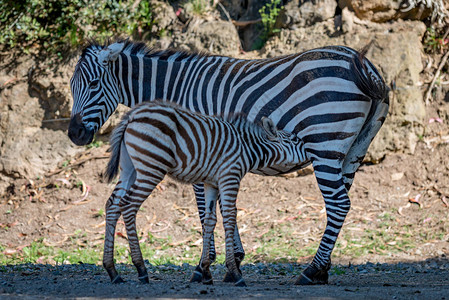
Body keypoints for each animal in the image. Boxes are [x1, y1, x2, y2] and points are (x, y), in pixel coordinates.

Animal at [104, 101, 308, 286]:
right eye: (295, 140)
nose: (311, 154)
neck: (247, 148)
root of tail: (132, 116)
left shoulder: (211, 182)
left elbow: (210, 220)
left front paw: (206, 271)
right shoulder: (230, 176)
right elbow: (229, 218)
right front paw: (235, 272)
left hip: (129, 168)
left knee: (113, 205)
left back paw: (113, 271)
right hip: (151, 168)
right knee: (128, 206)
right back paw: (141, 268)